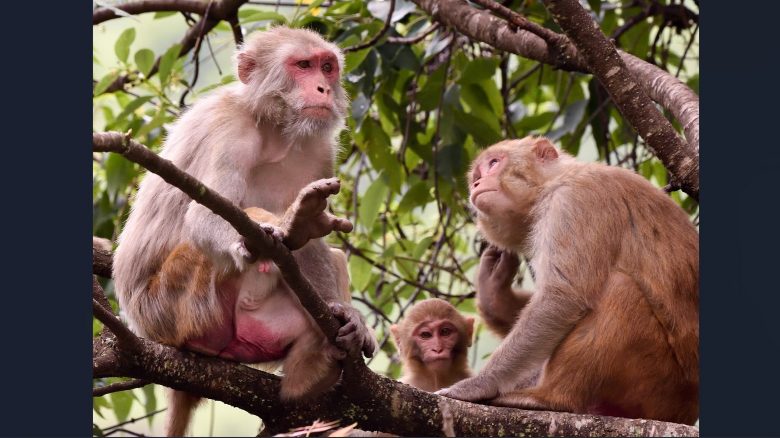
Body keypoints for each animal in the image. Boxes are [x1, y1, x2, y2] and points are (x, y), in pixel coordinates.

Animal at [111, 26, 376, 434]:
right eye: (303, 65)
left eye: (327, 67)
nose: (323, 88)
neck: (273, 128)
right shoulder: (230, 130)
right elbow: (202, 217)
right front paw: (289, 225)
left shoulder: (319, 149)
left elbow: (314, 248)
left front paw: (345, 314)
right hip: (175, 305)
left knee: (327, 258)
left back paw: (312, 371)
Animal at [438, 136, 700, 424]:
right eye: (476, 175)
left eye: (494, 163)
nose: (476, 184)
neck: (553, 183)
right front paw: (494, 295)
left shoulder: (575, 200)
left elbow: (561, 298)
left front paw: (480, 384)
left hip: (660, 385)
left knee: (620, 290)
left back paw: (551, 398)